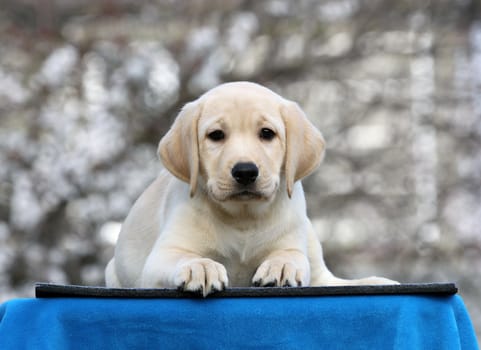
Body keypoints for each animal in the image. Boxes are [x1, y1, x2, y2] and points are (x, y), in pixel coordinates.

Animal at [106, 81, 398, 296]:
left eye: (267, 133)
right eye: (216, 135)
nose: (245, 171)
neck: (243, 216)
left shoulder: (292, 242)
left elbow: (290, 255)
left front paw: (281, 266)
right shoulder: (161, 256)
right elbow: (183, 257)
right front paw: (201, 267)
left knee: (326, 279)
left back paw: (376, 281)